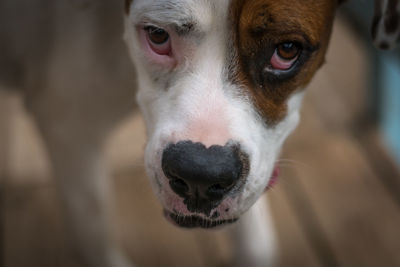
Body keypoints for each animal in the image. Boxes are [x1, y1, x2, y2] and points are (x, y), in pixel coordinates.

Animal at [0, 0, 398, 267]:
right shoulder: (70, 130)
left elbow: (256, 242)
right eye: (157, 35)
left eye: (287, 50)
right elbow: (93, 226)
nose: (200, 177)